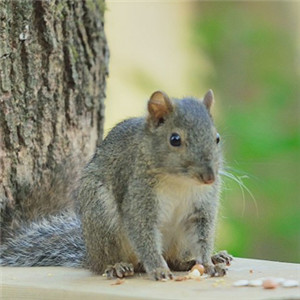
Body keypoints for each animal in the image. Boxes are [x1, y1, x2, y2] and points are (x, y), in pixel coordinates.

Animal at [0, 90, 232, 280]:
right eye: (175, 139)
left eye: (217, 138)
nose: (209, 177)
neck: (180, 182)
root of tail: (89, 255)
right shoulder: (138, 195)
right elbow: (143, 233)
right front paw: (158, 268)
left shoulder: (202, 206)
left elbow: (203, 236)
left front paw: (207, 263)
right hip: (103, 218)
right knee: (105, 264)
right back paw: (116, 266)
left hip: (179, 241)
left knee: (175, 259)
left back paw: (197, 260)